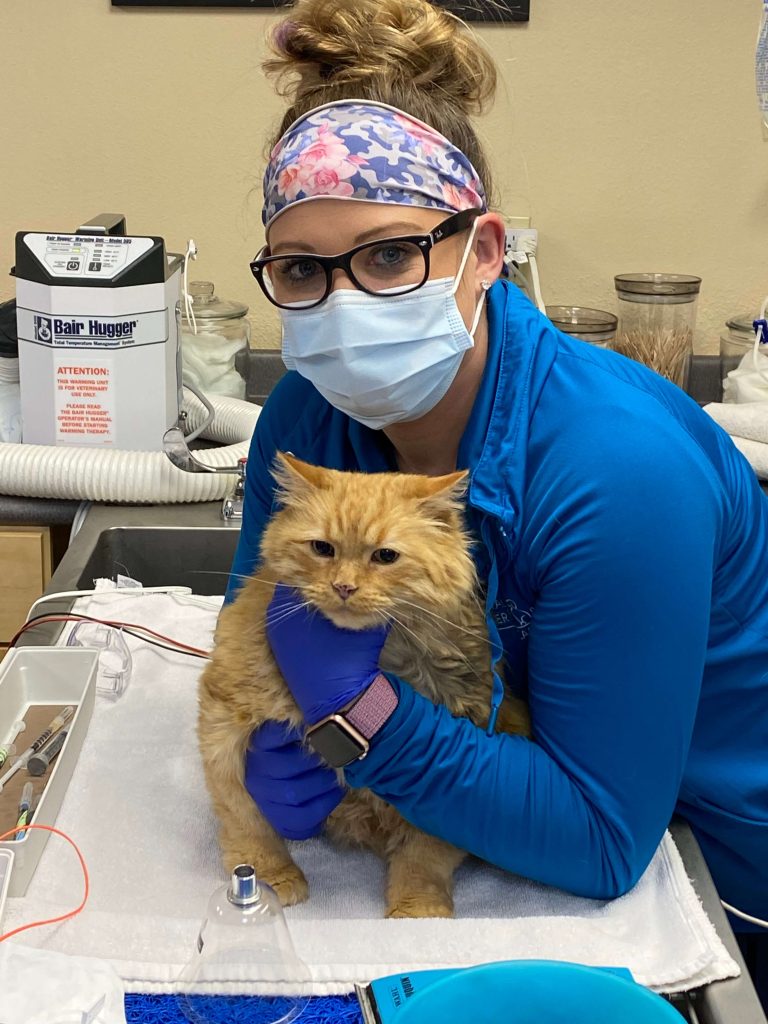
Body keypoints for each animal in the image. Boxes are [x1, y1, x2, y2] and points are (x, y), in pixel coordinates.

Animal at [198, 456, 528, 921]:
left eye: (385, 556)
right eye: (322, 549)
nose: (344, 587)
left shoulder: (452, 768)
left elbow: (425, 857)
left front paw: (418, 910)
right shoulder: (225, 721)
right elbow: (247, 821)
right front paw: (265, 883)